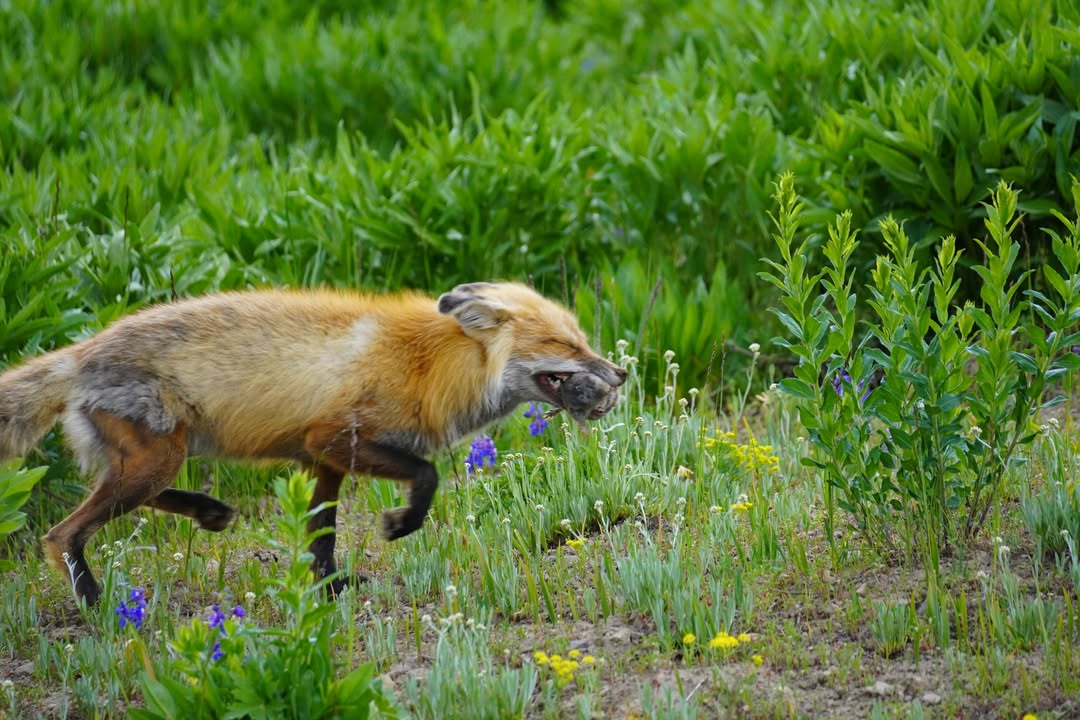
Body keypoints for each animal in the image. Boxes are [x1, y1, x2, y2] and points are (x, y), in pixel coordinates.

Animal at [0, 281, 626, 606]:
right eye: (564, 345)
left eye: (581, 339)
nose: (619, 374)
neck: (430, 365)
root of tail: (81, 352)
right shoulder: (333, 436)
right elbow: (426, 476)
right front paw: (400, 525)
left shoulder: (323, 455)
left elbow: (321, 533)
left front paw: (330, 586)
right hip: (157, 459)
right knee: (61, 535)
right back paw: (95, 601)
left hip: (154, 459)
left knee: (131, 499)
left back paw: (209, 512)